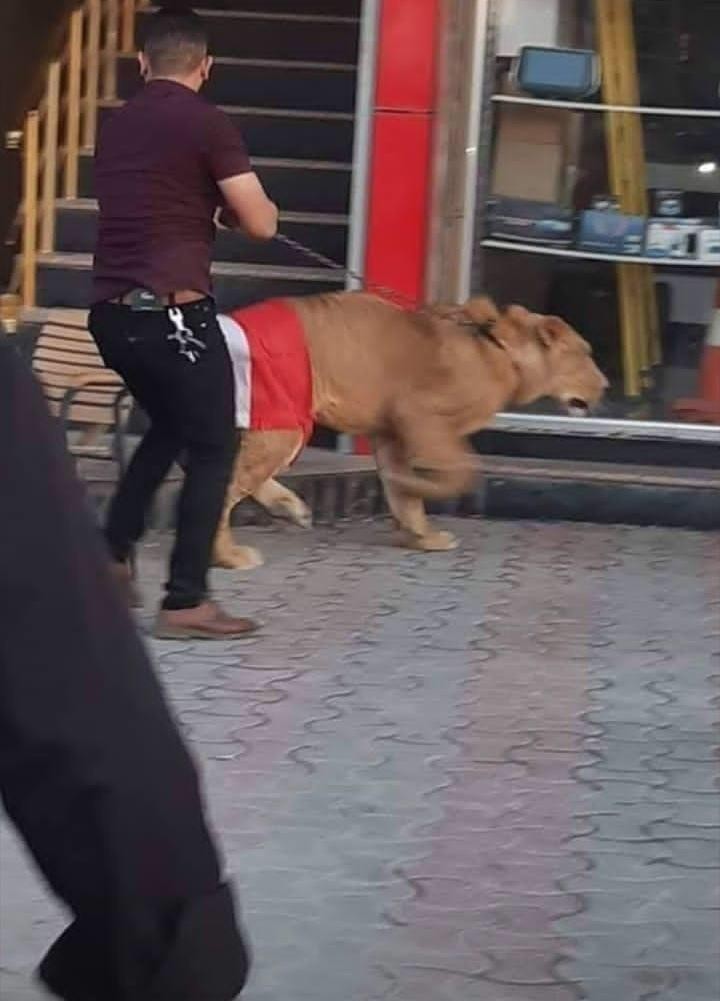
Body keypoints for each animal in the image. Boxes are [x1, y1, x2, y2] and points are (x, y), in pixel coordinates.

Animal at [214, 292, 608, 572]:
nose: (605, 385)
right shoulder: (420, 416)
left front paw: (423, 536)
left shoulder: (390, 433)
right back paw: (230, 556)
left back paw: (290, 507)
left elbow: (405, 497)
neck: (500, 350)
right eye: (584, 354)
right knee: (228, 485)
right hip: (284, 421)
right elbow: (462, 472)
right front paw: (417, 494)